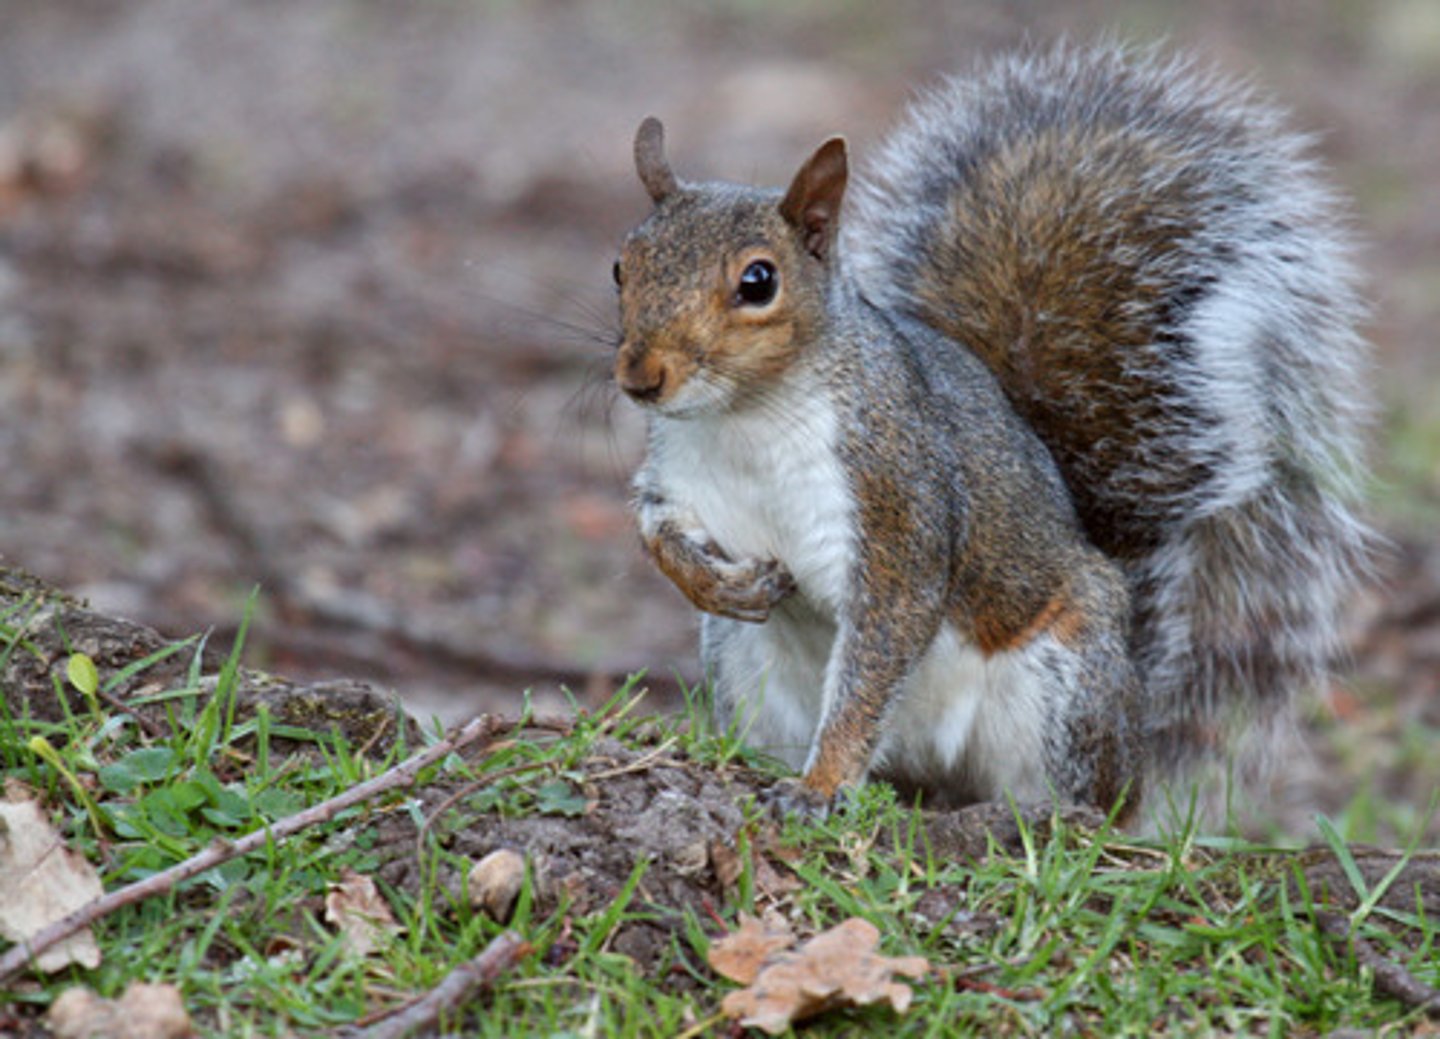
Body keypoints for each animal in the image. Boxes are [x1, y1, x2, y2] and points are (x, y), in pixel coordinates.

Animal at [610, 42, 1370, 817]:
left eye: (758, 281)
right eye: (621, 267)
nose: (641, 377)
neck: (746, 418)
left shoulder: (898, 502)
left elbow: (878, 655)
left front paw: (822, 787)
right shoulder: (679, 476)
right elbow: (657, 530)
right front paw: (715, 585)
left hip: (1066, 682)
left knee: (1081, 795)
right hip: (743, 670)